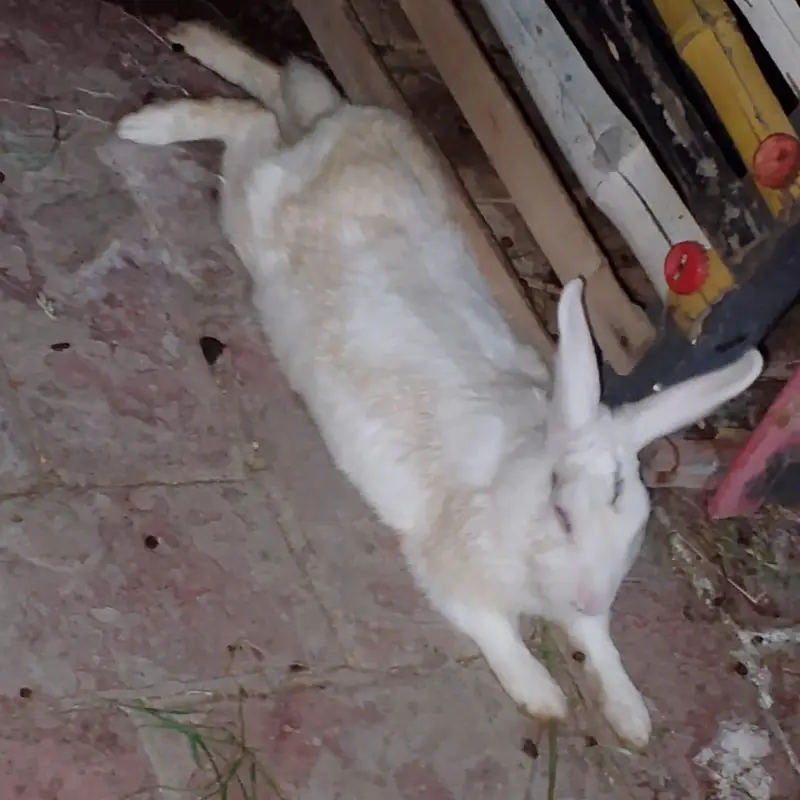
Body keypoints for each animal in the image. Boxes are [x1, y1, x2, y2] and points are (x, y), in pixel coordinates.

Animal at [116, 21, 764, 749]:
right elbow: (497, 632)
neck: (515, 484)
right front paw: (544, 697)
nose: (591, 595)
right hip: (251, 203)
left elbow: (602, 647)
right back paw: (148, 119)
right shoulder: (450, 573)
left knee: (282, 94)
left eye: (633, 526)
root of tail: (356, 125)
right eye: (562, 512)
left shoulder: (585, 615)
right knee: (251, 121)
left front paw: (633, 718)